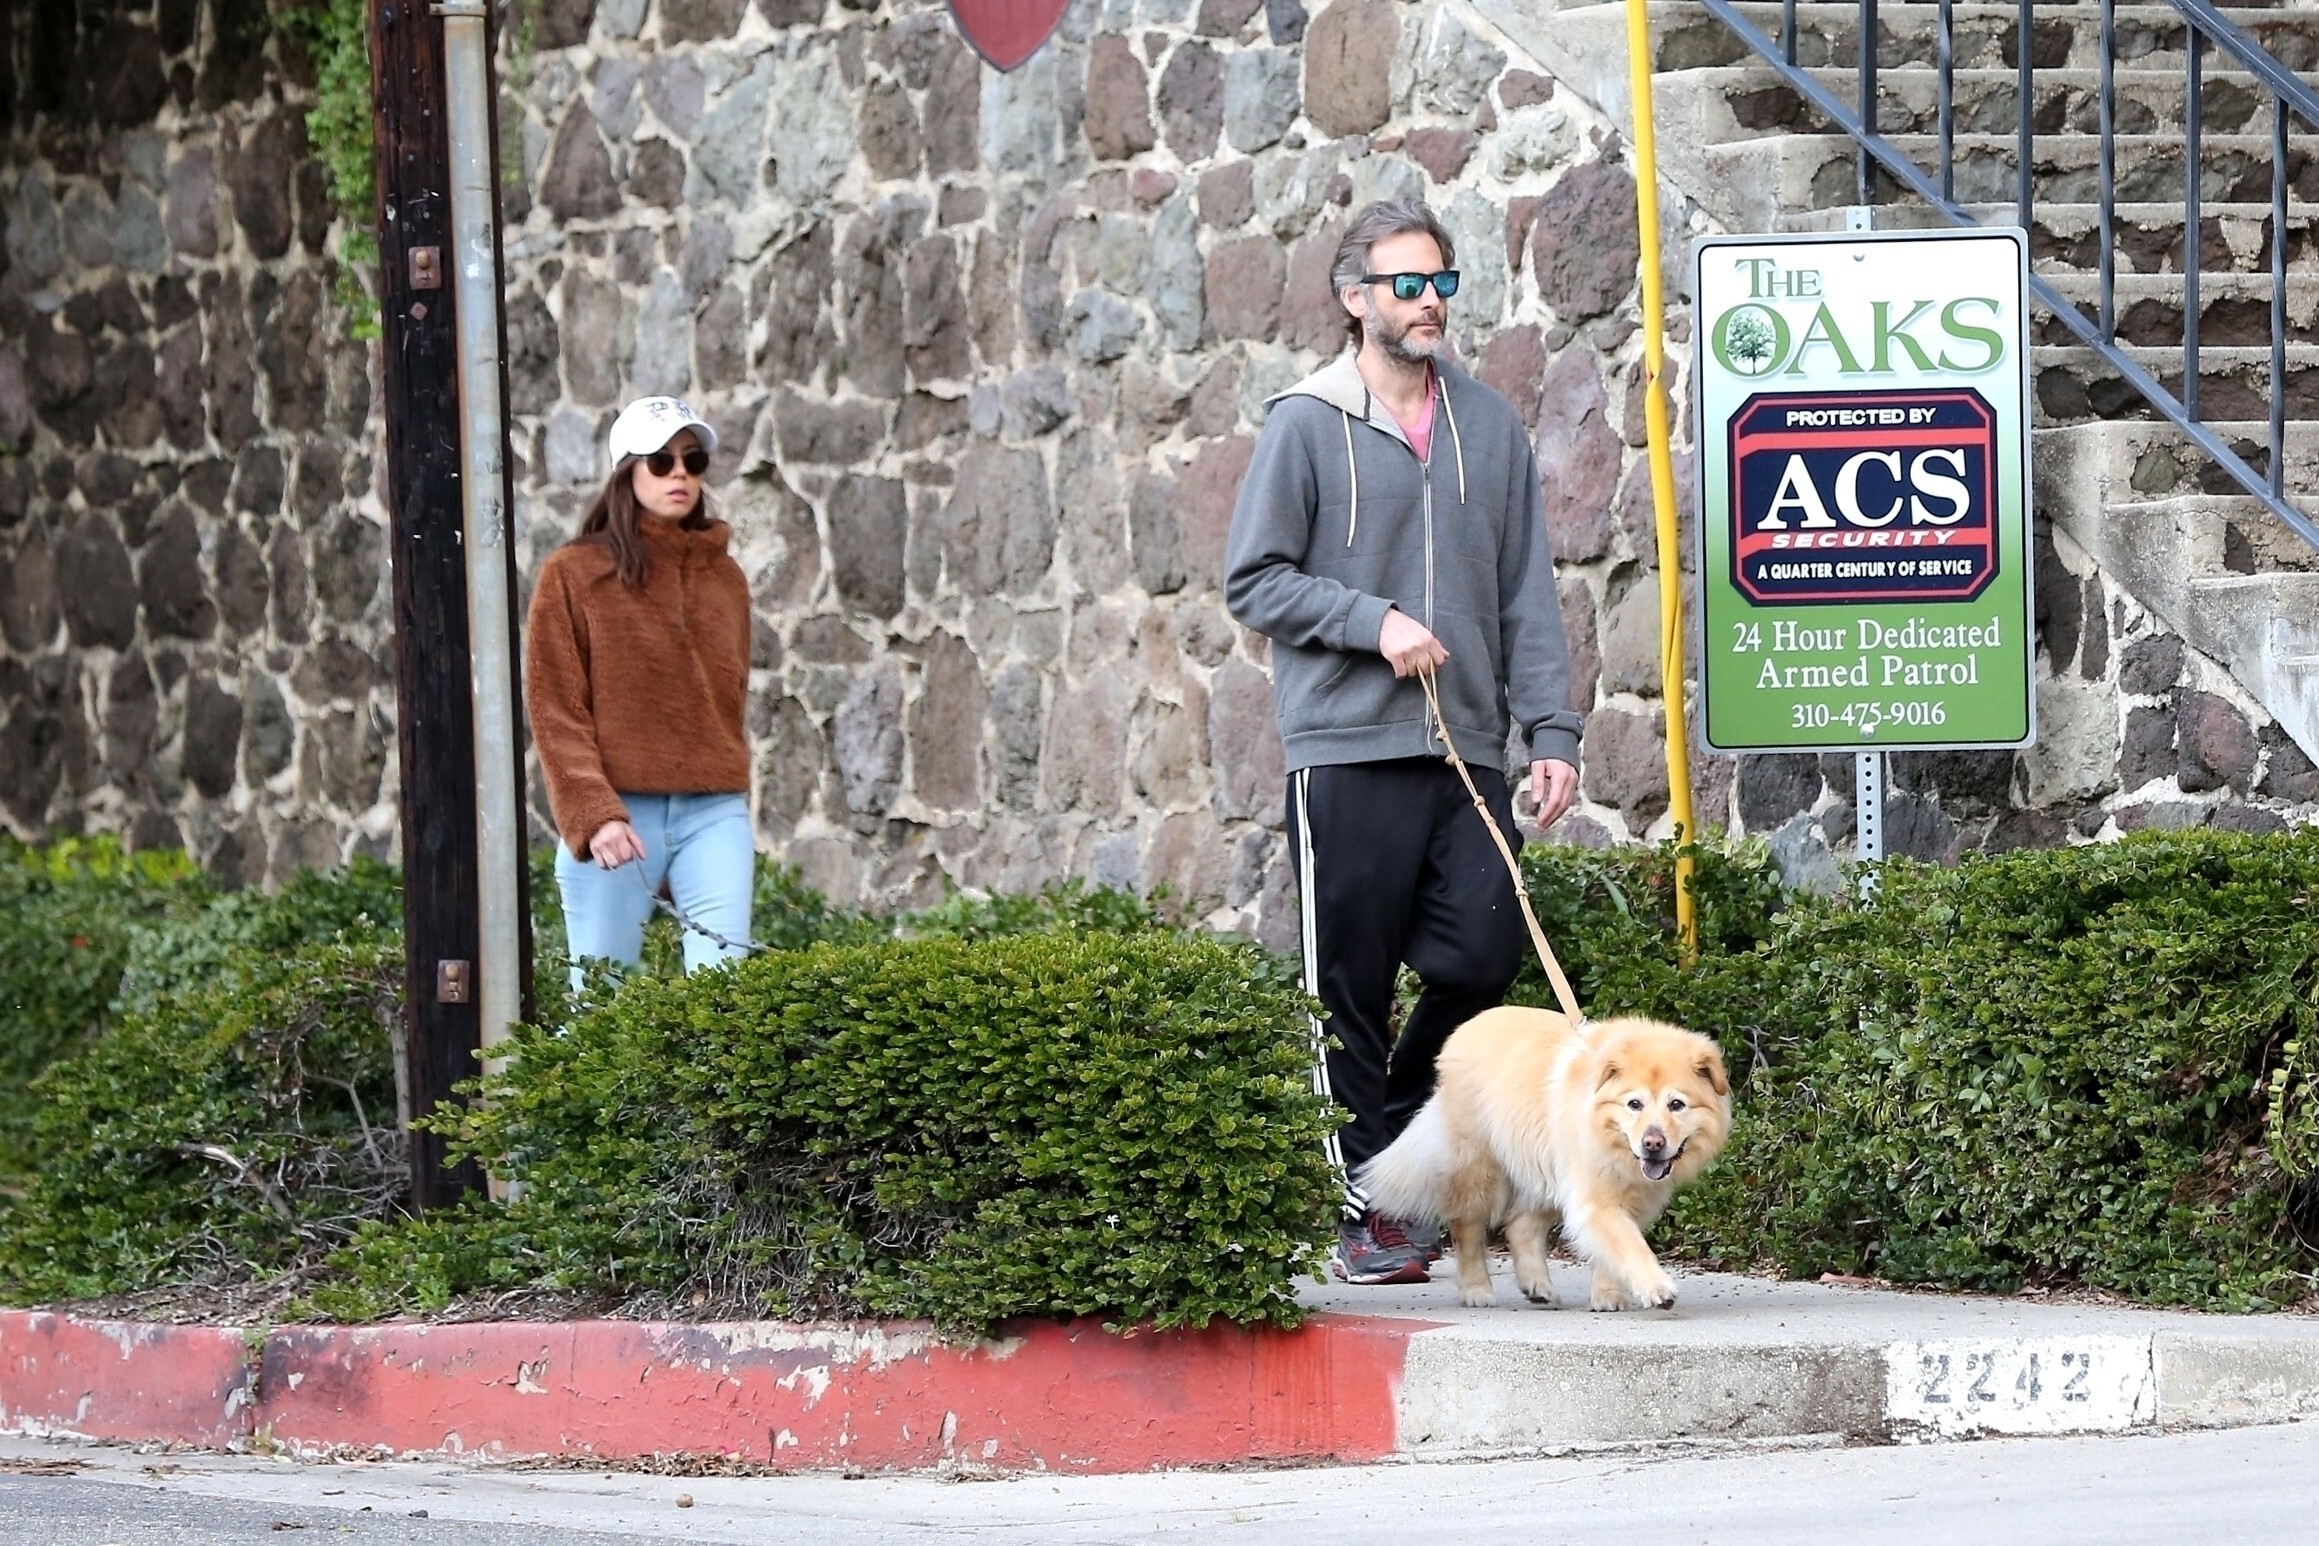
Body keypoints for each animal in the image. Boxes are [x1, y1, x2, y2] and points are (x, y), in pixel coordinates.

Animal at [1356, 1007, 1731, 1311]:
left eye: (1676, 1105)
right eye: (1634, 1104)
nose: (1653, 1143)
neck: (1611, 1139)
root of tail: (1466, 1028)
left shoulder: (1624, 1198)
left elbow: (1611, 1248)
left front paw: (1608, 1296)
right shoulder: (1594, 1198)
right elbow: (1629, 1245)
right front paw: (1656, 1287)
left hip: (1544, 1170)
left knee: (1520, 1225)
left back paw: (1537, 1286)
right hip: (1480, 1171)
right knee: (1468, 1230)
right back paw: (1477, 1290)